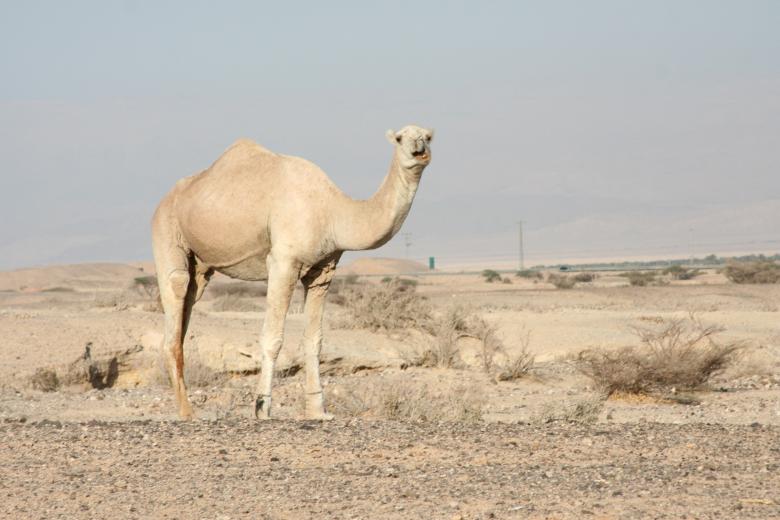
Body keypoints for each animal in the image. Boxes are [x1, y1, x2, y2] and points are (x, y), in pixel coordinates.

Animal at [151, 125, 433, 420]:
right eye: (400, 138)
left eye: (428, 136)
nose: (419, 149)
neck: (333, 211)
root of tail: (164, 200)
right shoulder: (283, 263)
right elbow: (272, 338)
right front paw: (262, 407)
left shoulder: (323, 270)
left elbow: (314, 341)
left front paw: (317, 410)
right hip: (166, 226)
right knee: (177, 286)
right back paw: (187, 412)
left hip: (201, 265)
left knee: (189, 300)